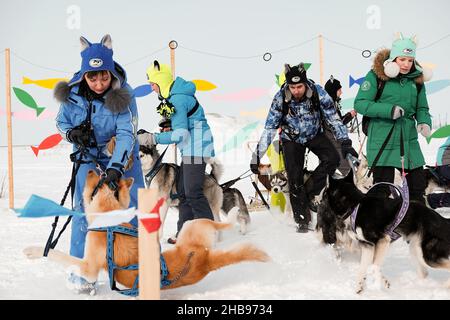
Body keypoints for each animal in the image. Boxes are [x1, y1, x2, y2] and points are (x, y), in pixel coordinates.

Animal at [320, 171, 450, 294]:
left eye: (325, 192)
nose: (319, 201)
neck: (355, 206)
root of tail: (444, 221)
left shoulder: (382, 241)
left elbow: (373, 266)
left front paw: (381, 282)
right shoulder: (367, 246)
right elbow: (363, 268)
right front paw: (360, 288)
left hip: (429, 255)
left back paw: (444, 286)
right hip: (416, 250)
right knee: (424, 273)